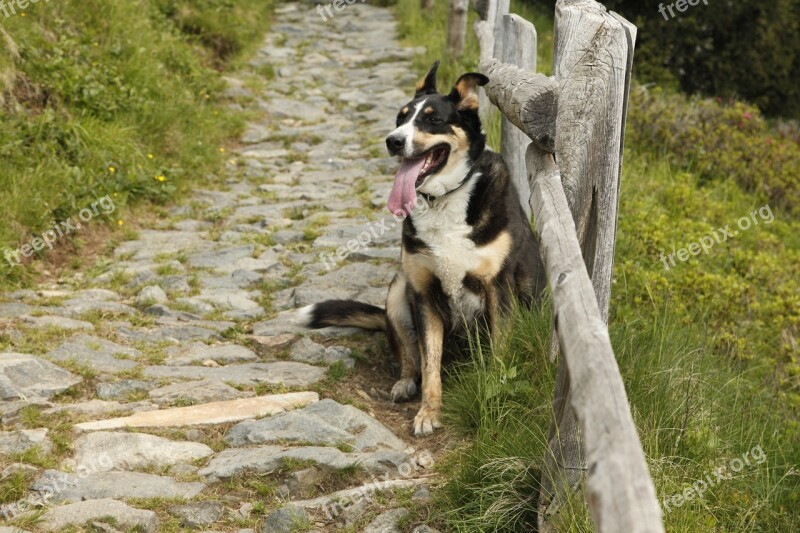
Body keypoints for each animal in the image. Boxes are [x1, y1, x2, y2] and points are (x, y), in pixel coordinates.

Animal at [300, 61, 544, 436]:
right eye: (400, 118)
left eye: (433, 120)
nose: (393, 141)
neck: (444, 200)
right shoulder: (424, 293)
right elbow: (429, 363)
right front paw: (429, 412)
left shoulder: (498, 289)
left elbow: (500, 354)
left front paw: (494, 389)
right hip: (398, 290)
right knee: (409, 356)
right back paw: (404, 383)